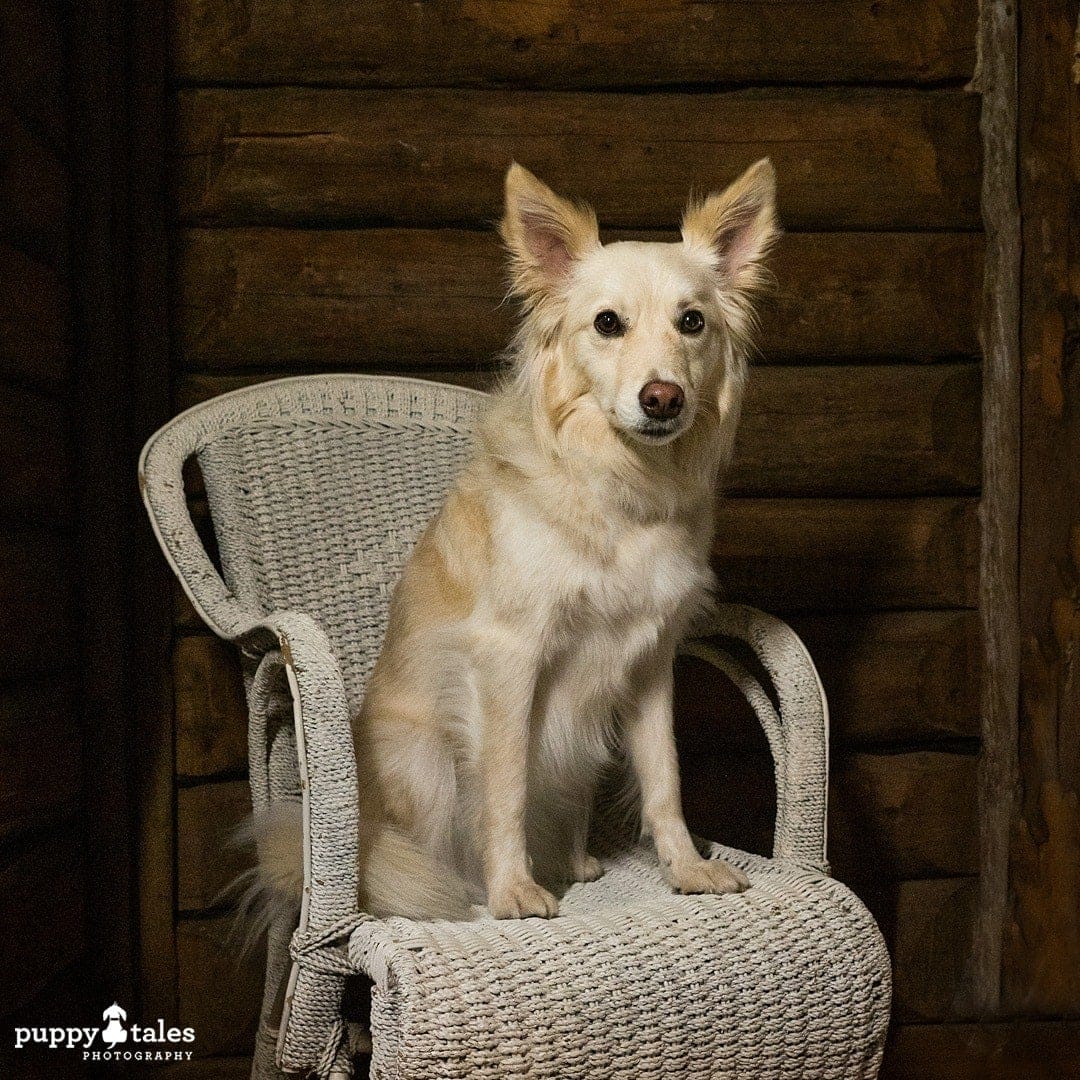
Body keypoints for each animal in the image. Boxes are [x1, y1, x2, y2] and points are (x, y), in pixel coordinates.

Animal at [251, 157, 777, 920]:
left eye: (693, 323)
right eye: (607, 324)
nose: (663, 399)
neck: (616, 490)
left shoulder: (651, 660)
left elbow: (665, 778)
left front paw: (685, 867)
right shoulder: (509, 655)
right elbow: (505, 786)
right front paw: (511, 889)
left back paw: (576, 860)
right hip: (424, 757)